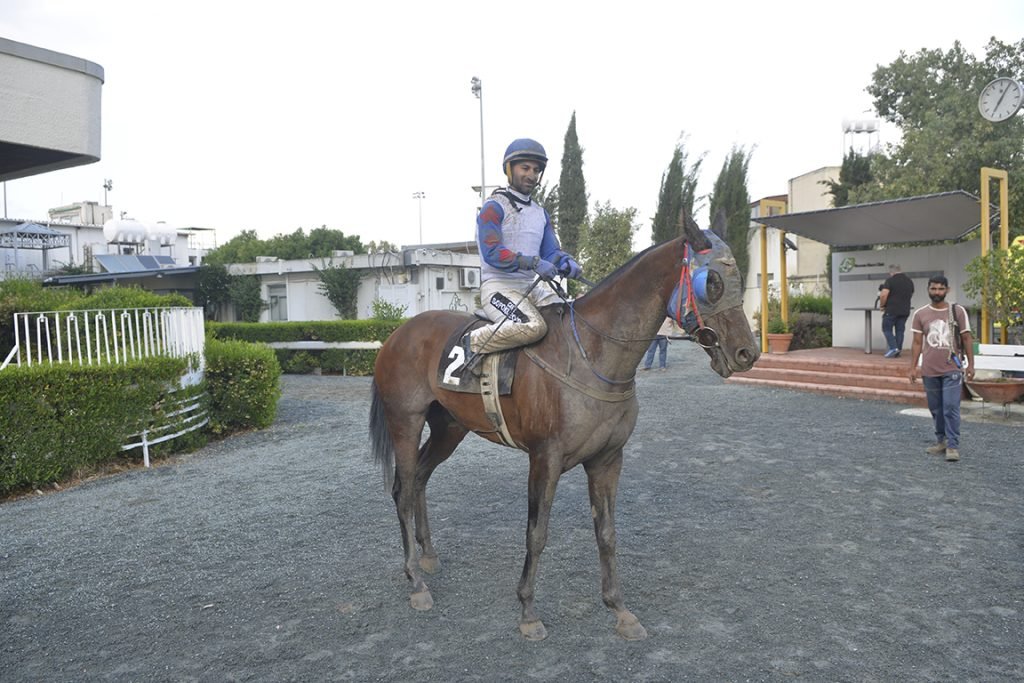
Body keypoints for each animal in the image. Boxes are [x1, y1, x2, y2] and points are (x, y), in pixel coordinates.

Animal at [368, 213, 759, 640]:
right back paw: (416, 583)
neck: (591, 355)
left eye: (740, 277)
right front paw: (527, 611)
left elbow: (607, 533)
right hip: (405, 421)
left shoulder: (608, 459)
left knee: (420, 478)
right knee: (403, 490)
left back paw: (428, 557)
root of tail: (399, 333)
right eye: (713, 282)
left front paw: (619, 609)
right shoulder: (545, 459)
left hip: (449, 428)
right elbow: (537, 534)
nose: (747, 352)